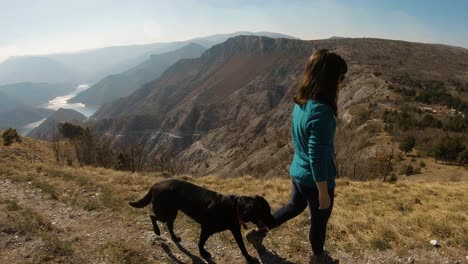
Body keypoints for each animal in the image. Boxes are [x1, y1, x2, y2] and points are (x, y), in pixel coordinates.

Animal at [129, 178, 274, 262]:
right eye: (265, 211)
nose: (273, 221)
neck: (235, 208)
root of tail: (156, 184)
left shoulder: (235, 230)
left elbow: (242, 246)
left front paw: (249, 258)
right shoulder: (206, 228)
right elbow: (201, 242)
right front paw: (203, 253)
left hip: (172, 213)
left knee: (168, 224)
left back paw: (174, 238)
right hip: (165, 212)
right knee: (152, 216)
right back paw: (157, 231)